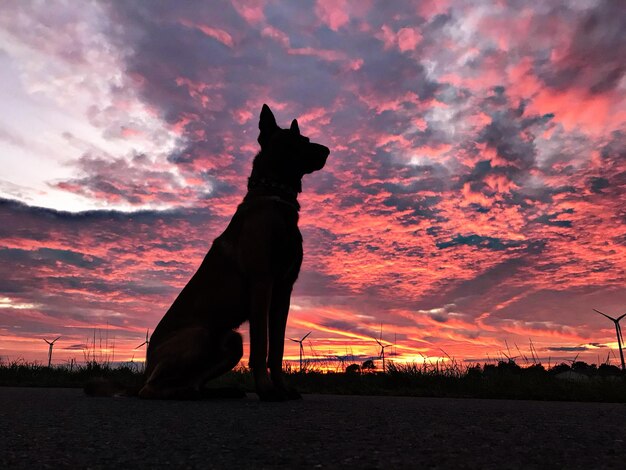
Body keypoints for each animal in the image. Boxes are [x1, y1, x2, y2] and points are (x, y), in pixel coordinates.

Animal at [138, 103, 330, 400]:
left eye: (306, 139)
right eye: (297, 141)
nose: (327, 151)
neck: (276, 196)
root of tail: (147, 364)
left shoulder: (283, 292)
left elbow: (277, 350)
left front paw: (282, 388)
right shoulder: (262, 284)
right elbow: (262, 347)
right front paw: (266, 390)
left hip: (231, 339)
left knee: (192, 381)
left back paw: (214, 392)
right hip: (200, 335)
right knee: (151, 389)